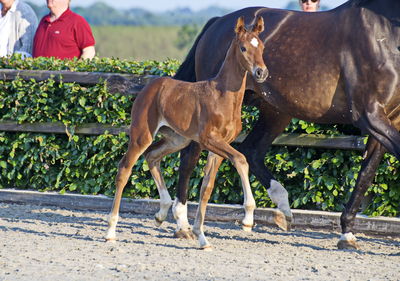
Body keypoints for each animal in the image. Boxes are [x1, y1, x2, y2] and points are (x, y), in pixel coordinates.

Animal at [106, 15, 268, 247]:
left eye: (261, 46)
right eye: (244, 48)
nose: (261, 72)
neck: (223, 96)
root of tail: (149, 86)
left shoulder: (219, 146)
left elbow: (206, 187)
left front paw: (202, 237)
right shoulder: (209, 139)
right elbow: (241, 159)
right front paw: (247, 218)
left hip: (177, 139)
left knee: (152, 156)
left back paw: (161, 213)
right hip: (142, 135)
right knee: (125, 169)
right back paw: (111, 231)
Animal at [173, 0, 400, 249]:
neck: (384, 31)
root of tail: (216, 24)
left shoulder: (389, 118)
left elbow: (366, 174)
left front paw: (347, 233)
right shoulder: (369, 115)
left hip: (275, 111)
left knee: (251, 151)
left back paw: (276, 211)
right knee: (190, 157)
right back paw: (183, 224)